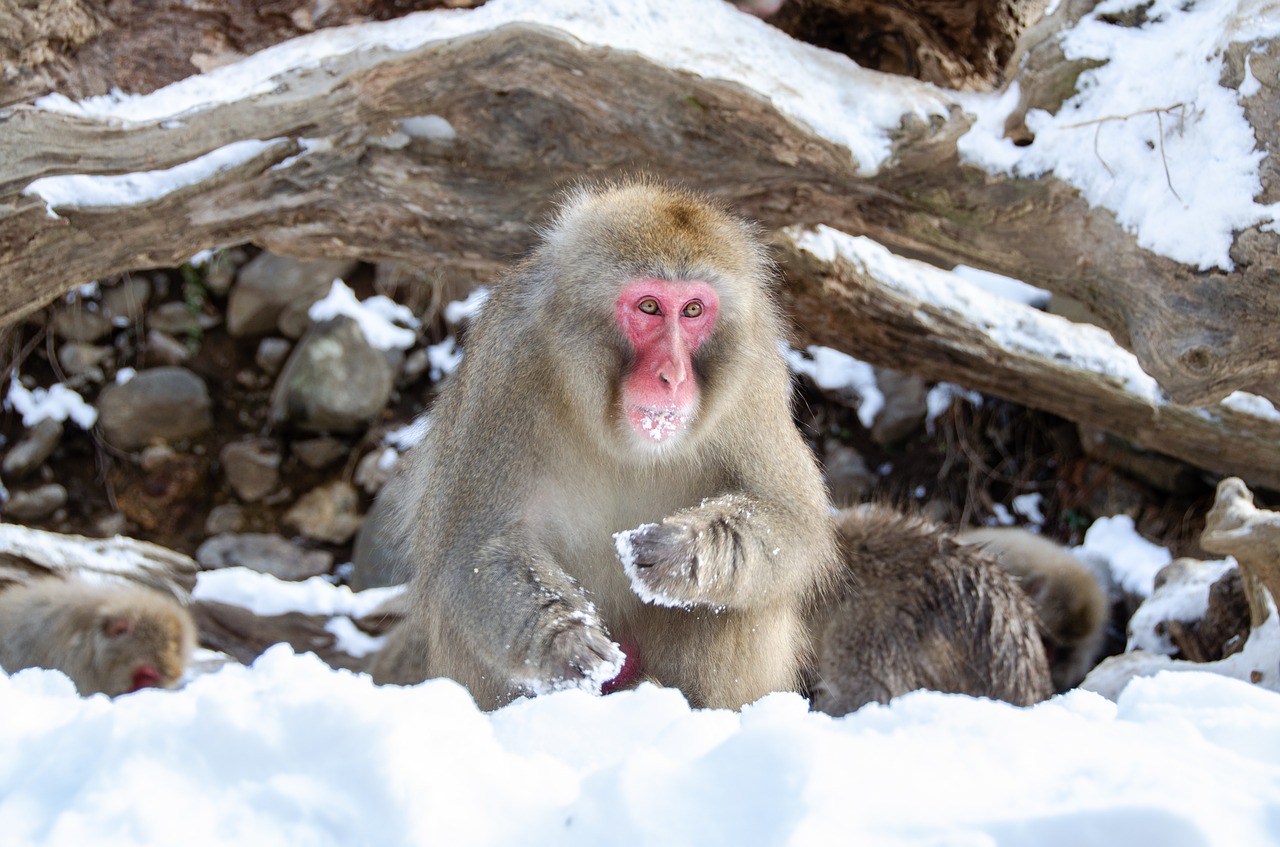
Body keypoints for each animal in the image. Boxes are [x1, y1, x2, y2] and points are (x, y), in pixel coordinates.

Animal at [373, 182, 839, 711]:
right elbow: (474, 545)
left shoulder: (755, 379)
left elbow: (792, 521)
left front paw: (684, 552)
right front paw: (563, 639)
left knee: (740, 602)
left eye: (693, 310)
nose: (673, 375)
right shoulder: (506, 364)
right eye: (649, 307)